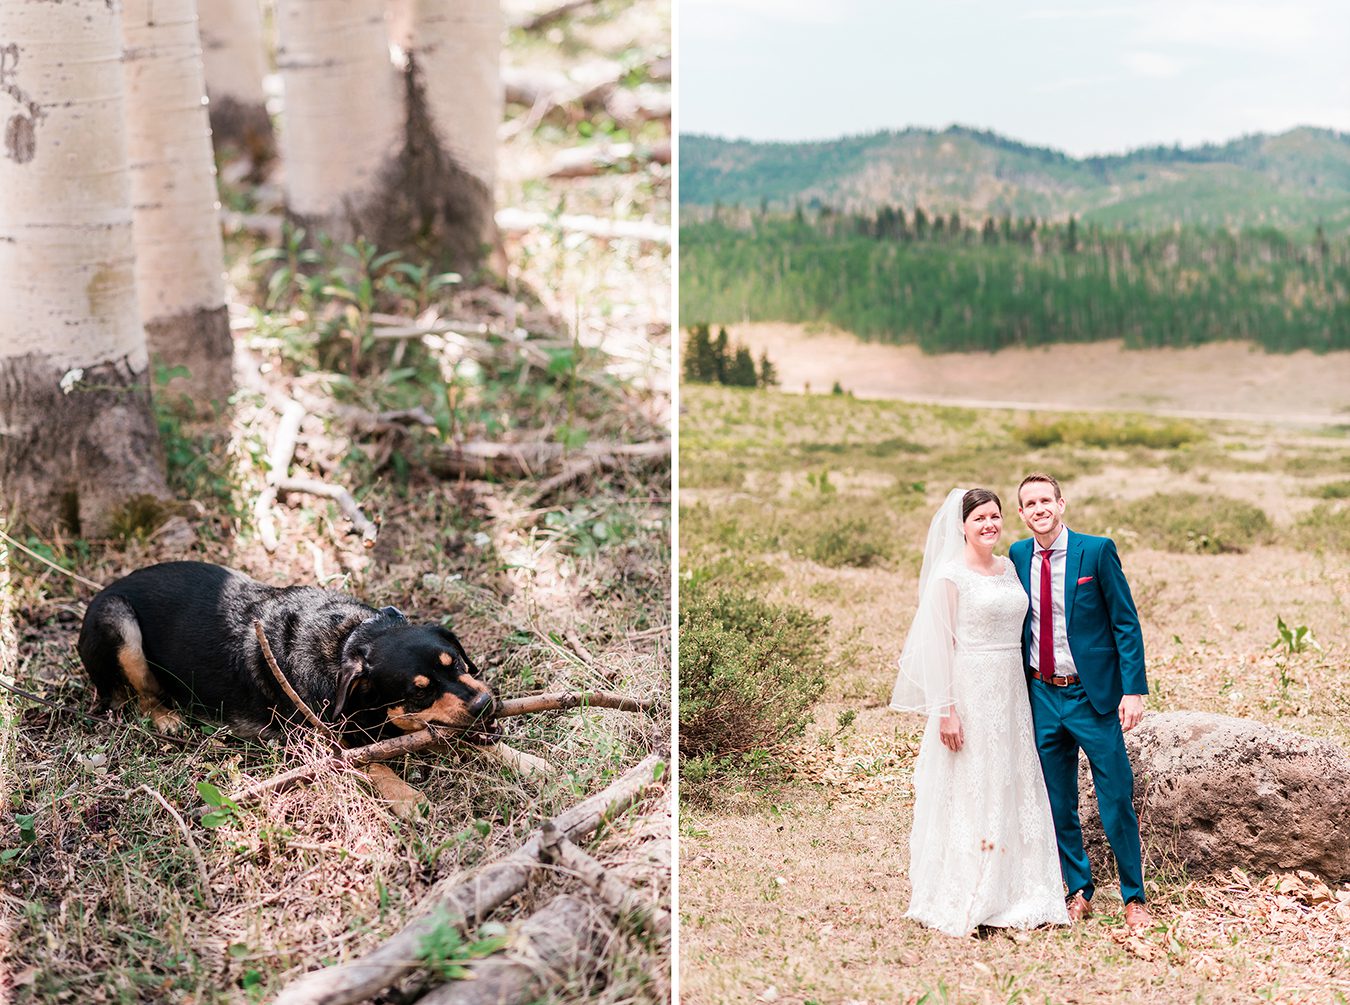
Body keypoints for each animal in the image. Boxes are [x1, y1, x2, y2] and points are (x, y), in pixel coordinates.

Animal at [77, 561, 502, 805]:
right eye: (419, 691)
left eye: (456, 660)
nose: (485, 705)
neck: (350, 642)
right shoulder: (319, 743)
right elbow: (374, 764)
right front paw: (407, 798)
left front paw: (517, 756)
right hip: (119, 620)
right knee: (142, 695)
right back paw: (166, 717)